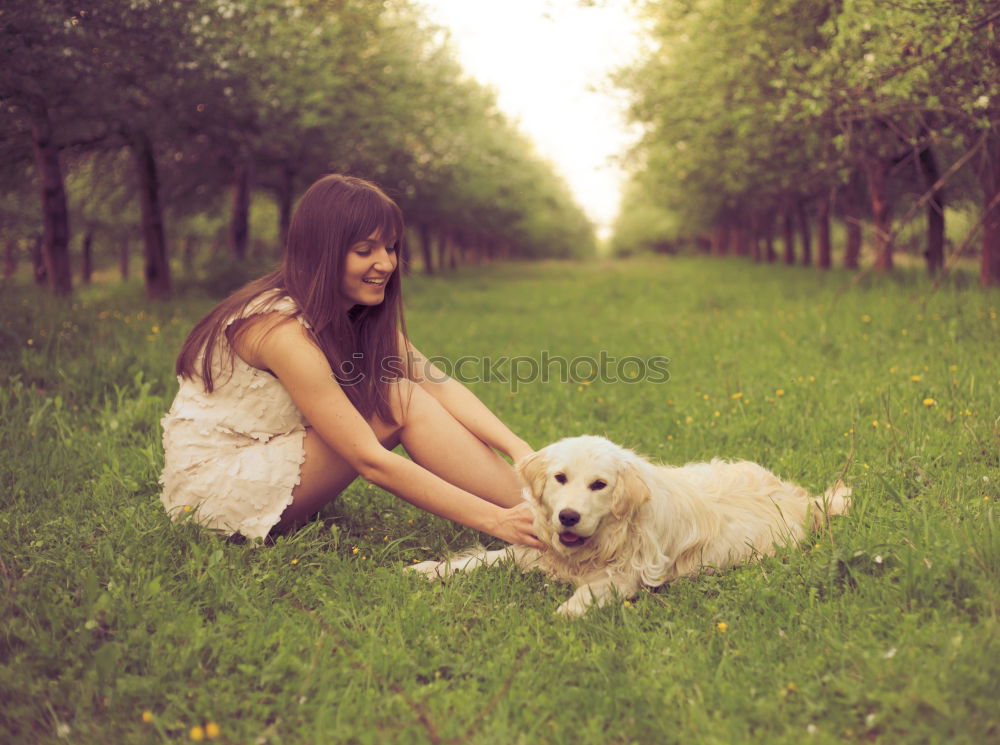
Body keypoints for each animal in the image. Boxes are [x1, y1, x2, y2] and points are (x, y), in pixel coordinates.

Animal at [408, 434, 852, 612]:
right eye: (560, 478)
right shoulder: (532, 549)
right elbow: (479, 559)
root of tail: (805, 500)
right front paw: (429, 569)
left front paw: (566, 612)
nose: (568, 516)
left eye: (599, 485)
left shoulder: (629, 574)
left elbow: (594, 589)